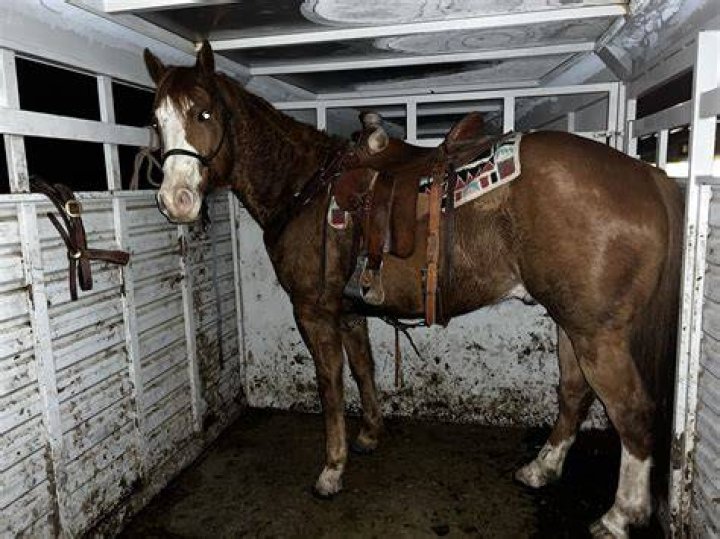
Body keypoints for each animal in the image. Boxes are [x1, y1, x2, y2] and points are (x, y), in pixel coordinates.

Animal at [143, 41, 682, 538]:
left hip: (597, 334)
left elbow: (331, 385)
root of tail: (647, 176)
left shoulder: (314, 311)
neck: (307, 187)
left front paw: (332, 470)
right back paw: (541, 469)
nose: (176, 200)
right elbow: (363, 368)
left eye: (204, 113)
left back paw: (618, 516)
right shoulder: (347, 309)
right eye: (156, 120)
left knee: (632, 412)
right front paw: (370, 435)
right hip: (571, 324)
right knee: (574, 393)